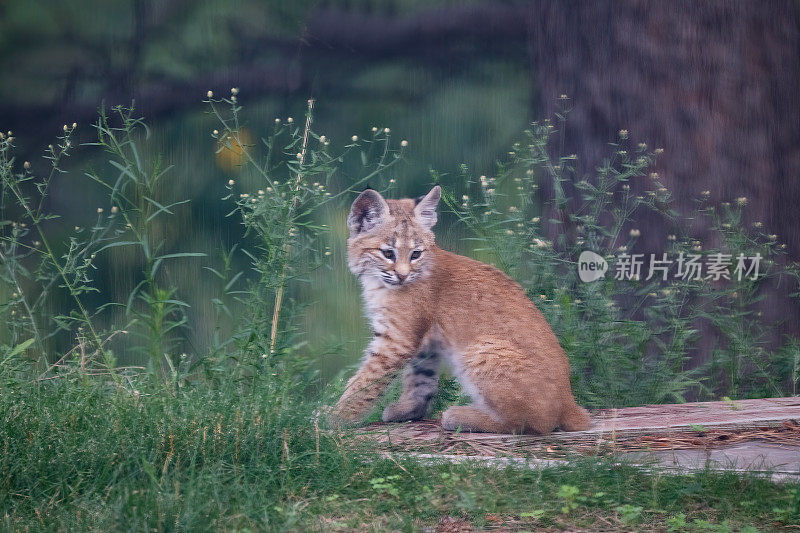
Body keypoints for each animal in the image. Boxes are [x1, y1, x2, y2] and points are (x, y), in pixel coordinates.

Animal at [330, 186, 588, 432]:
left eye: (415, 254)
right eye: (387, 253)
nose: (402, 276)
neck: (378, 282)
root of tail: (569, 401)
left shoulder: (397, 340)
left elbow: (365, 383)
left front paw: (332, 419)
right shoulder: (423, 340)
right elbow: (419, 378)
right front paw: (408, 410)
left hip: (479, 348)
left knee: (535, 423)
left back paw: (460, 417)